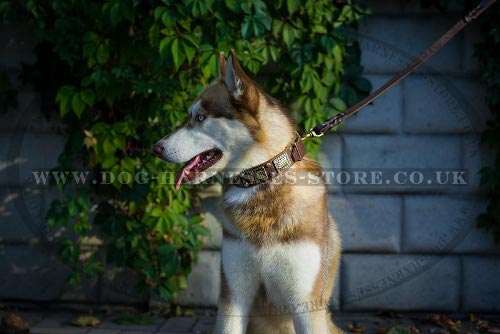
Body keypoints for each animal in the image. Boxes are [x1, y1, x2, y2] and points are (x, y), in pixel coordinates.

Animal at [154, 50, 342, 334]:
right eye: (191, 116)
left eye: (200, 118)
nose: (156, 147)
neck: (261, 182)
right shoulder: (233, 295)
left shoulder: (306, 304)